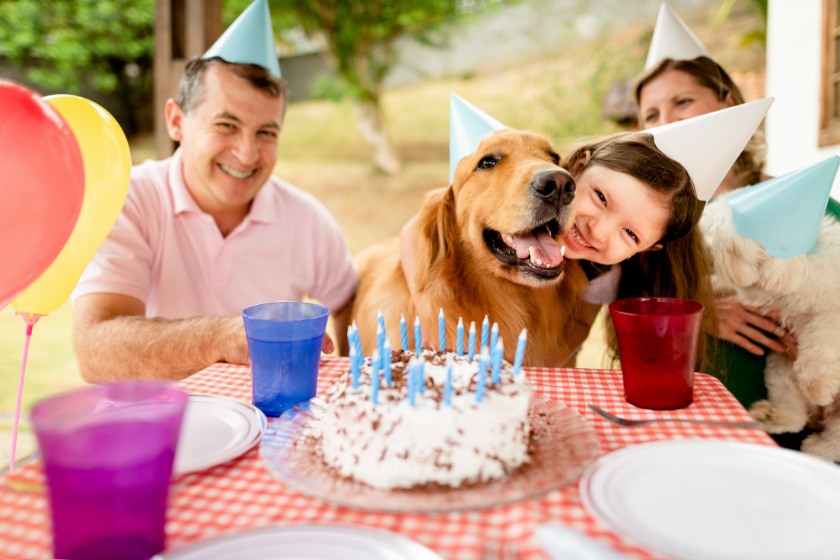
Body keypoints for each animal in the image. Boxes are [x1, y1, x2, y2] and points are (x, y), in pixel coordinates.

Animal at [700, 195, 840, 462]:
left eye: (731, 248)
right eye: (709, 235)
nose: (706, 254)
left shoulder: (830, 314)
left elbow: (821, 338)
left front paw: (817, 385)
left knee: (834, 440)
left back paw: (817, 447)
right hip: (781, 370)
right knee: (797, 416)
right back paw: (772, 416)